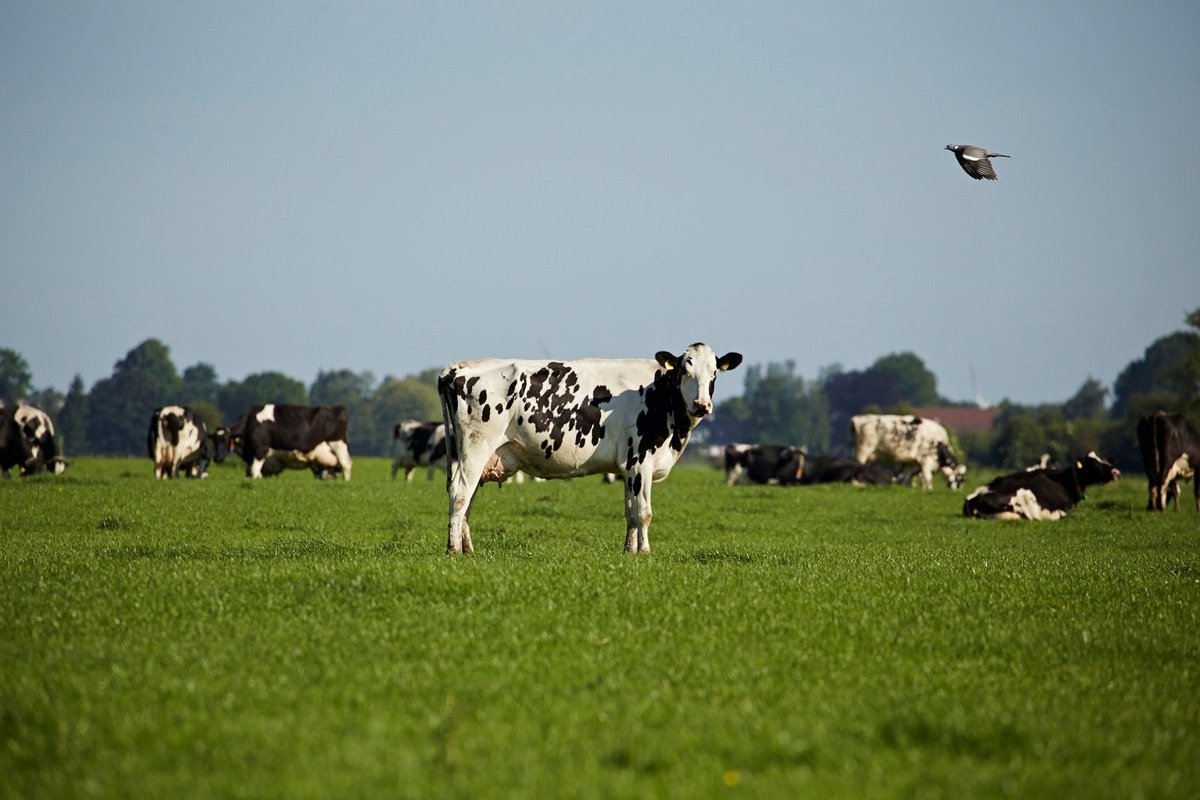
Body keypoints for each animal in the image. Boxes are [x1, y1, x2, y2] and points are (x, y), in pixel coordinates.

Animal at [441, 340, 739, 554]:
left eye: (714, 373)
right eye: (685, 370)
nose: (702, 404)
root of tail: (459, 367)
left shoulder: (628, 466)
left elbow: (630, 512)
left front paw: (629, 551)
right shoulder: (641, 461)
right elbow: (644, 513)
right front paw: (645, 551)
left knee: (468, 499)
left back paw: (467, 548)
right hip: (475, 448)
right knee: (460, 493)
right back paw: (453, 549)